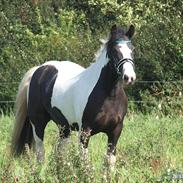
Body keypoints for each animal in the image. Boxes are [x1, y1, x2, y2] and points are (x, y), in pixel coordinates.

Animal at [10, 24, 135, 169]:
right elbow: (85, 162)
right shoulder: (85, 132)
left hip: (64, 127)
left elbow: (109, 161)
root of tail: (39, 69)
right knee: (41, 153)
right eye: (114, 50)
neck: (109, 96)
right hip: (38, 123)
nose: (129, 77)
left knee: (59, 152)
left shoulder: (115, 131)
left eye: (132, 49)